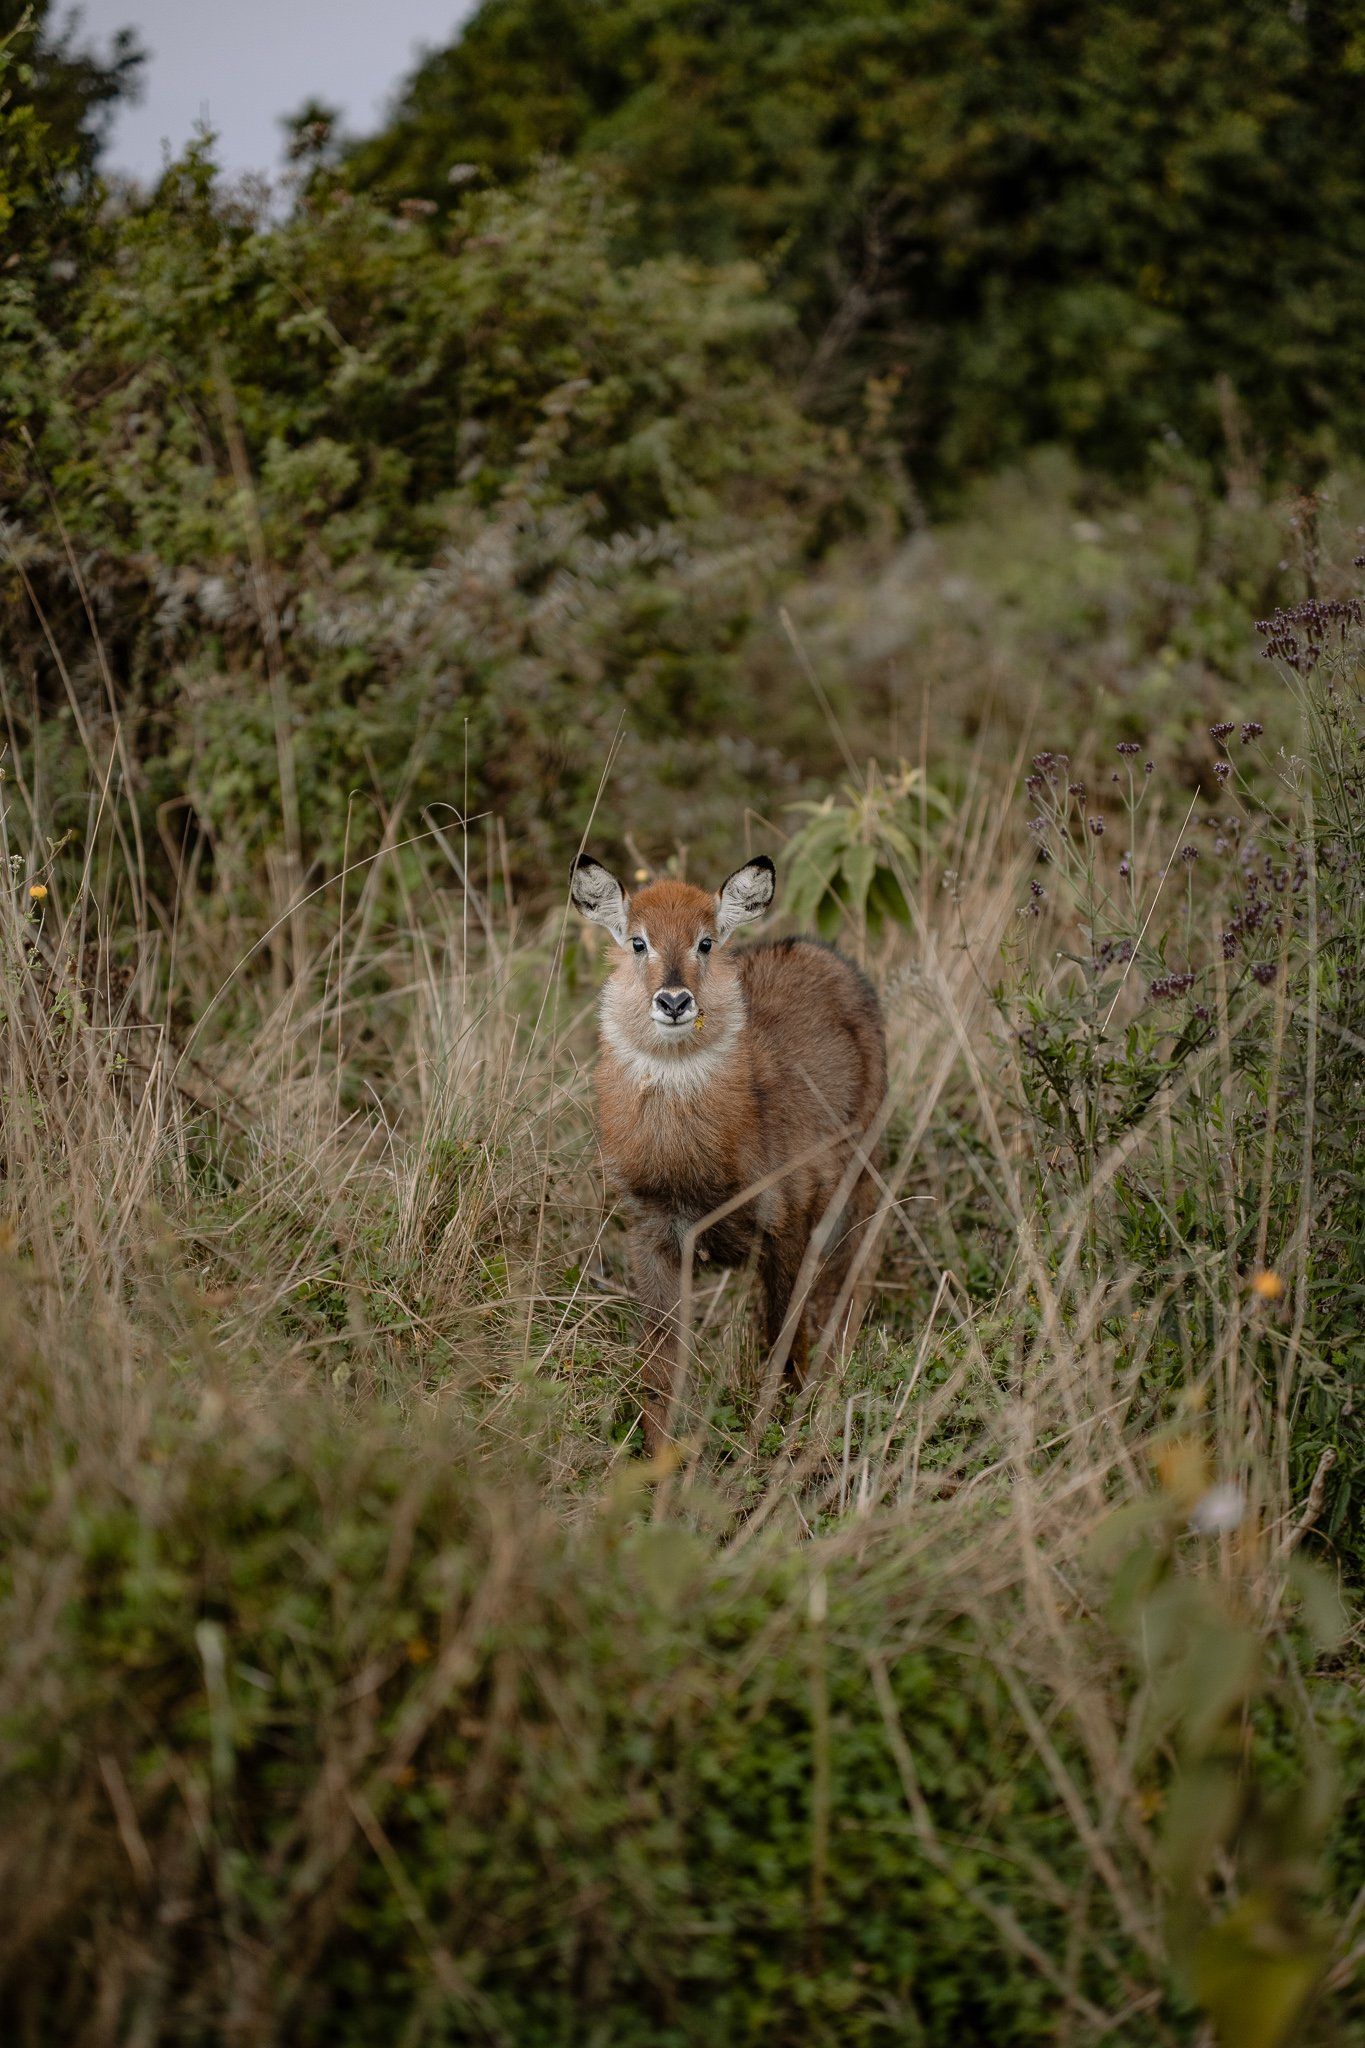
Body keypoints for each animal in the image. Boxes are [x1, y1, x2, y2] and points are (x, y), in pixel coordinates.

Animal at [570, 850, 887, 1452]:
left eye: (706, 941)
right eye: (638, 941)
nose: (674, 1001)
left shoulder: (786, 1226)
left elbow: (783, 1338)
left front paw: (779, 1427)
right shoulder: (653, 1235)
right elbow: (661, 1363)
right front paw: (657, 1456)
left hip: (858, 1184)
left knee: (853, 1277)